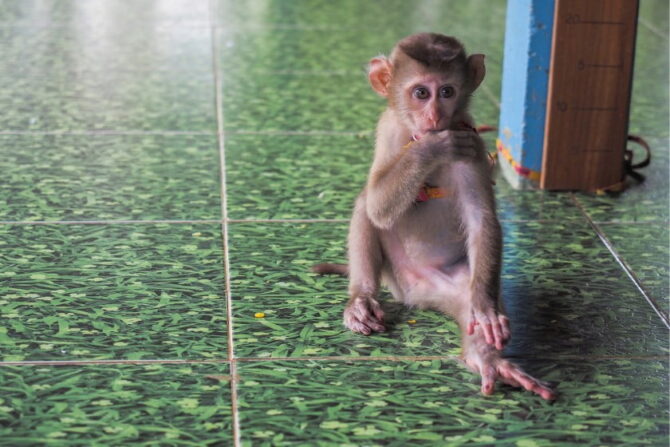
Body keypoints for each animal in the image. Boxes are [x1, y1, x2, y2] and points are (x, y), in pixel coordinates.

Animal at [314, 33, 555, 400]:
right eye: (421, 93)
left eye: (447, 91)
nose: (434, 116)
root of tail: (412, 294)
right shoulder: (389, 128)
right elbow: (378, 203)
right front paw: (432, 147)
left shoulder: (473, 143)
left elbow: (481, 218)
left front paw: (486, 309)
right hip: (395, 272)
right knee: (366, 204)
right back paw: (362, 300)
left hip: (447, 284)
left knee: (468, 299)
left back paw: (485, 358)